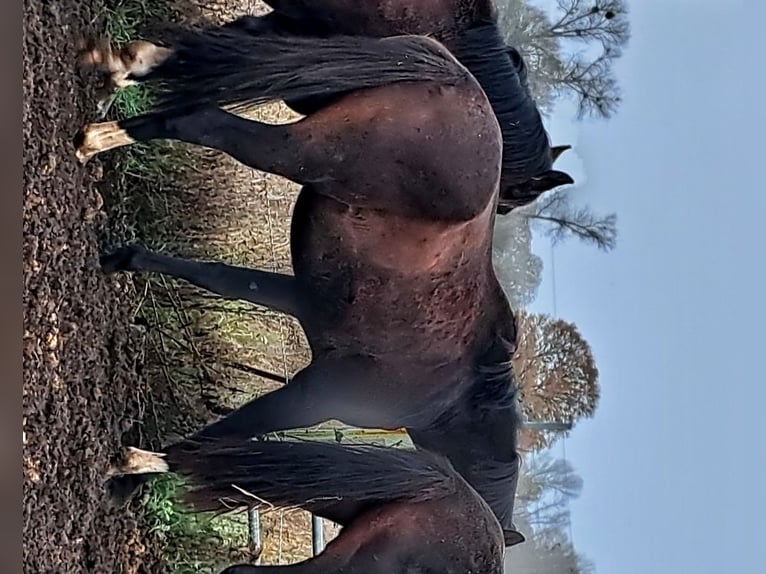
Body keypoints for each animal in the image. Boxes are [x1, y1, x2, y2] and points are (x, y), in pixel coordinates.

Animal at [76, 25, 528, 548]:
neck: (454, 393)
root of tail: (454, 76)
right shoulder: (311, 399)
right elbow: (228, 432)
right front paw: (132, 475)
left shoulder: (297, 297)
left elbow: (219, 278)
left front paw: (122, 259)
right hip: (298, 151)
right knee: (200, 120)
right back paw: (94, 138)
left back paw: (115, 79)